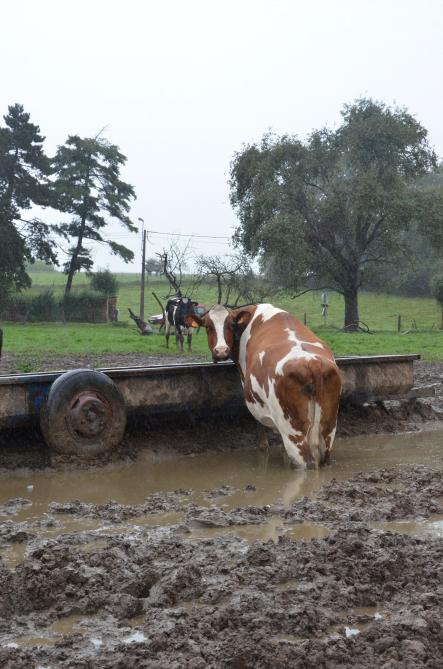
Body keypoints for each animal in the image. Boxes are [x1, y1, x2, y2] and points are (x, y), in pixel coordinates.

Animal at [187, 304, 344, 468]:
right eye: (208, 327)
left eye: (230, 325)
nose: (221, 351)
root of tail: (312, 363)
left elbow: (260, 430)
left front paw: (263, 447)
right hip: (328, 429)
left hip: (293, 432)